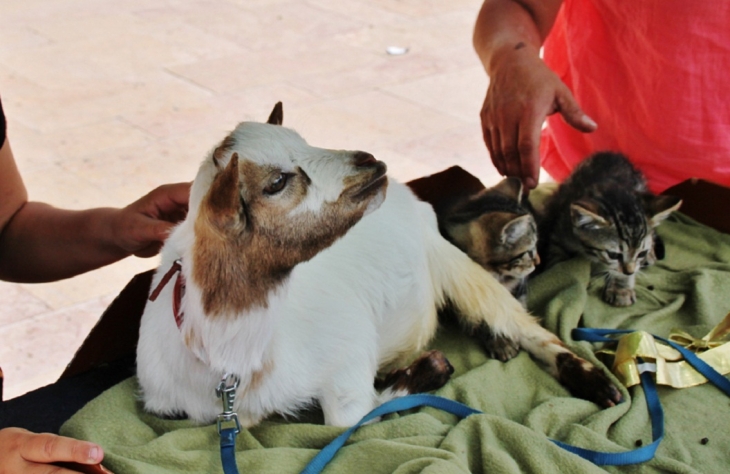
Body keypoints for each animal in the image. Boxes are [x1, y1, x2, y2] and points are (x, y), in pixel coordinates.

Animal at [536, 152, 680, 308]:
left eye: (641, 253)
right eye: (613, 255)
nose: (629, 272)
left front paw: (621, 288)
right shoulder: (560, 230)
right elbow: (557, 258)